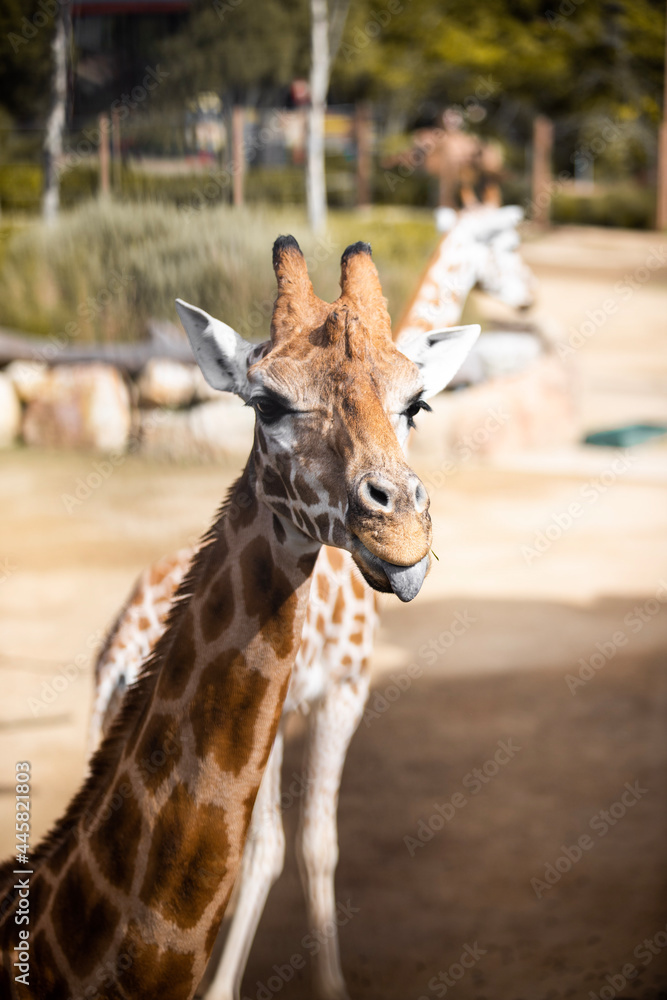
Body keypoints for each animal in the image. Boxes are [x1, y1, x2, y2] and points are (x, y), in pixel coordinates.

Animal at [0, 235, 480, 1000]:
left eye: (418, 403)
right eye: (267, 402)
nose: (401, 537)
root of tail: (120, 646)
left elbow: (294, 845)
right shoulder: (341, 692)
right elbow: (306, 846)